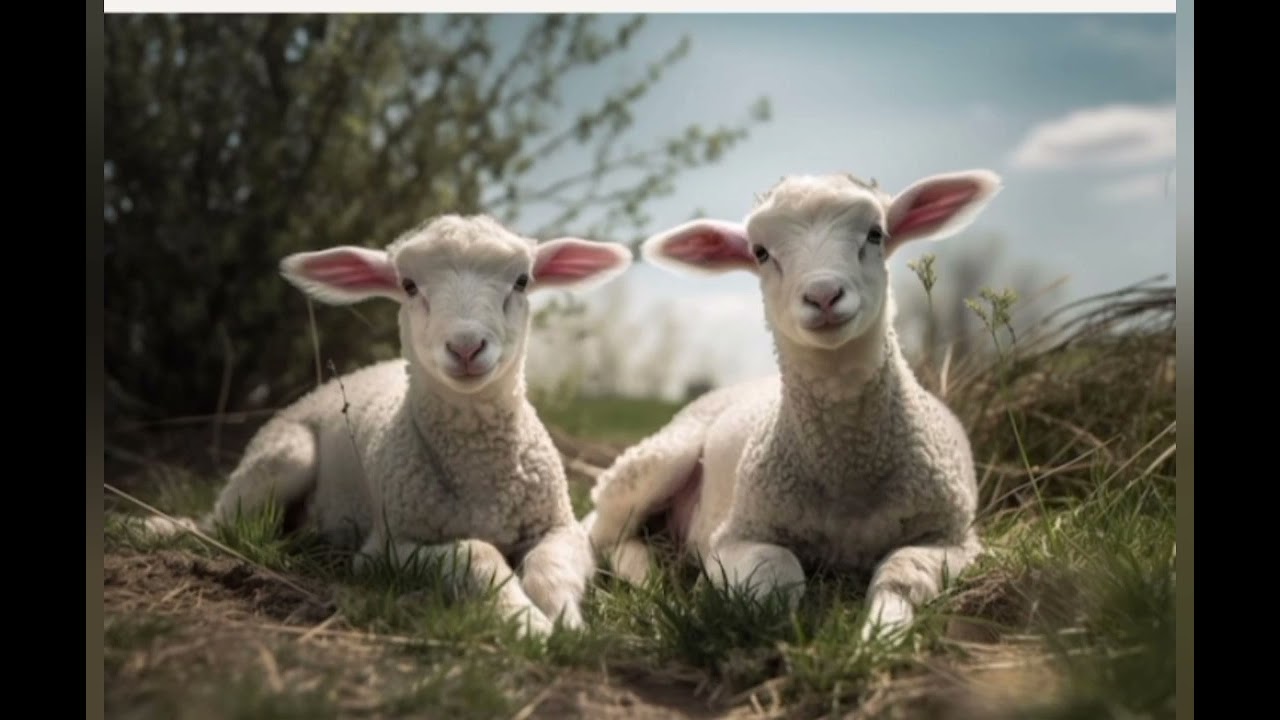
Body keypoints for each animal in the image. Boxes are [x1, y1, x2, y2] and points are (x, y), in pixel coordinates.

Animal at [141, 214, 633, 638]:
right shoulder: (387, 548)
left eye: (522, 280)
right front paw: (526, 623)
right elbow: (475, 554)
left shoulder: (561, 525)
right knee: (217, 524)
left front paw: (564, 620)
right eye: (409, 285)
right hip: (283, 457)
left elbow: (553, 567)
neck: (479, 475)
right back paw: (161, 528)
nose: (466, 347)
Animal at [582, 169, 1002, 640]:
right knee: (601, 534)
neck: (848, 471)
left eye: (875, 234)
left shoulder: (953, 537)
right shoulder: (736, 533)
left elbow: (902, 573)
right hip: (656, 459)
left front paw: (880, 634)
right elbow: (778, 572)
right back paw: (646, 575)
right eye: (761, 253)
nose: (823, 294)